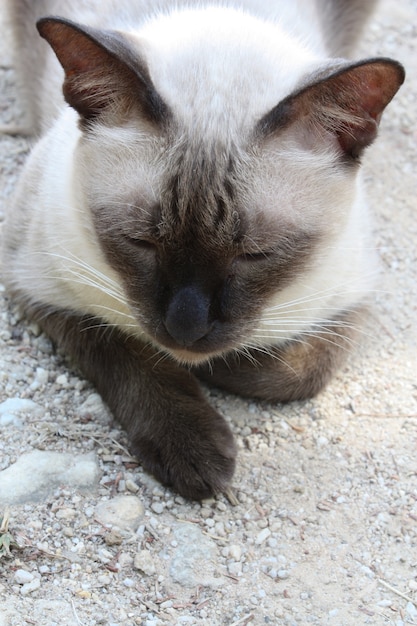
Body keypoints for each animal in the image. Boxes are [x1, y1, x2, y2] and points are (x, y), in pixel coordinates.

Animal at [0, 0, 404, 498]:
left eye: (255, 255)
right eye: (140, 242)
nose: (186, 328)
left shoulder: (350, 297)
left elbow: (300, 374)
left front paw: (212, 368)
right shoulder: (37, 283)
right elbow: (127, 350)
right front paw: (193, 449)